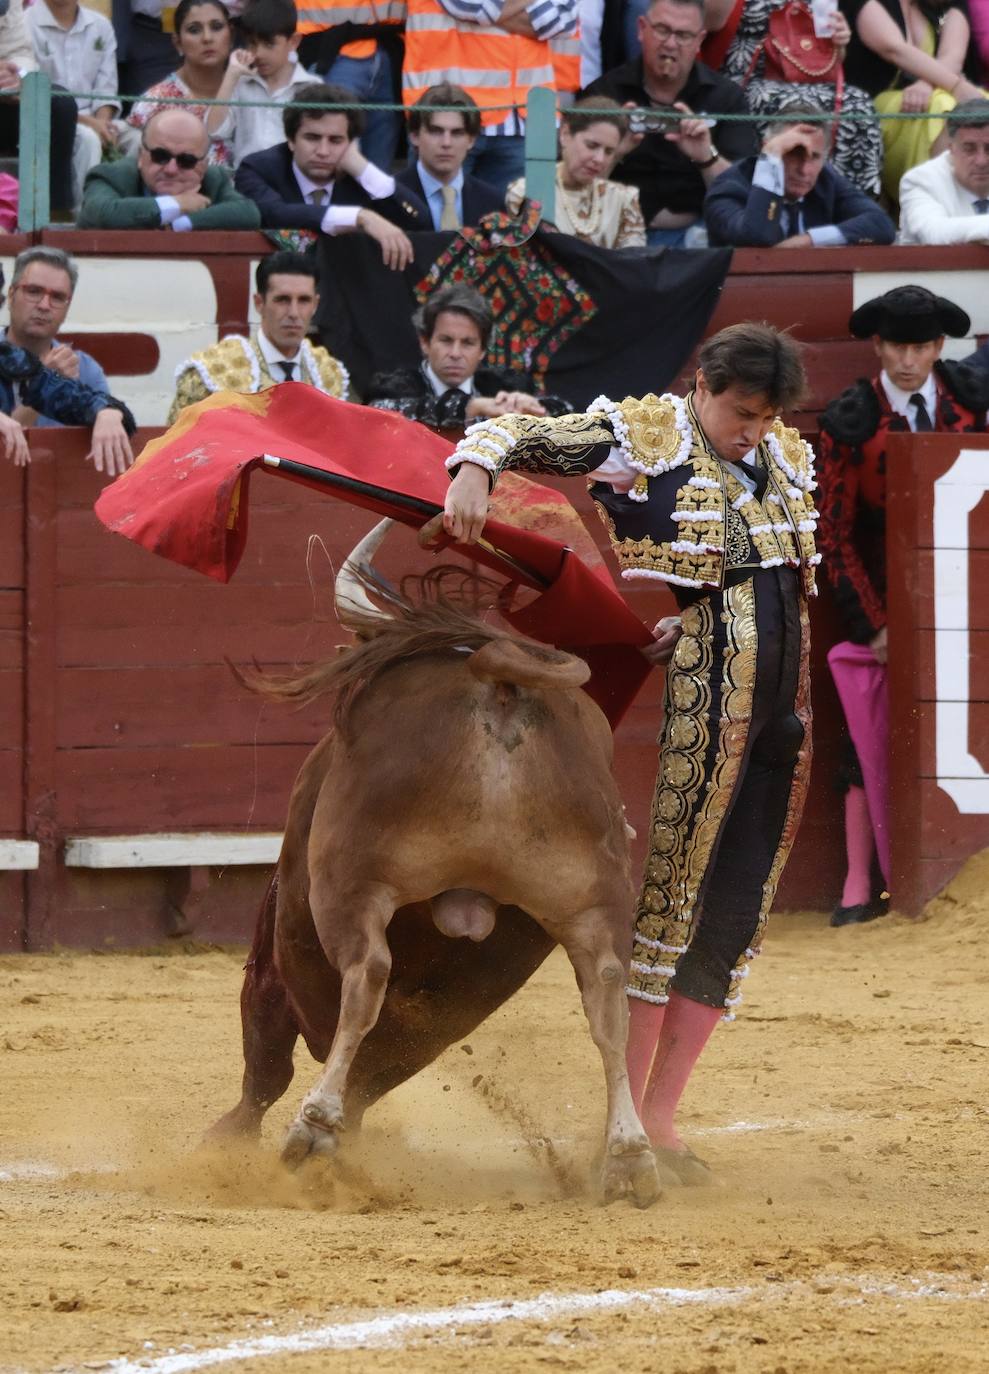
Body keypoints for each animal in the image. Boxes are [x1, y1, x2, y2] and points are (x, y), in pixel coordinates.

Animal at [211, 519, 659, 1209]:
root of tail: (496, 680)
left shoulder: (275, 947)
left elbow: (268, 1055)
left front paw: (235, 1137)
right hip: (590, 898)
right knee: (609, 1001)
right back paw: (629, 1159)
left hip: (351, 882)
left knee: (365, 975)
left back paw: (312, 1131)